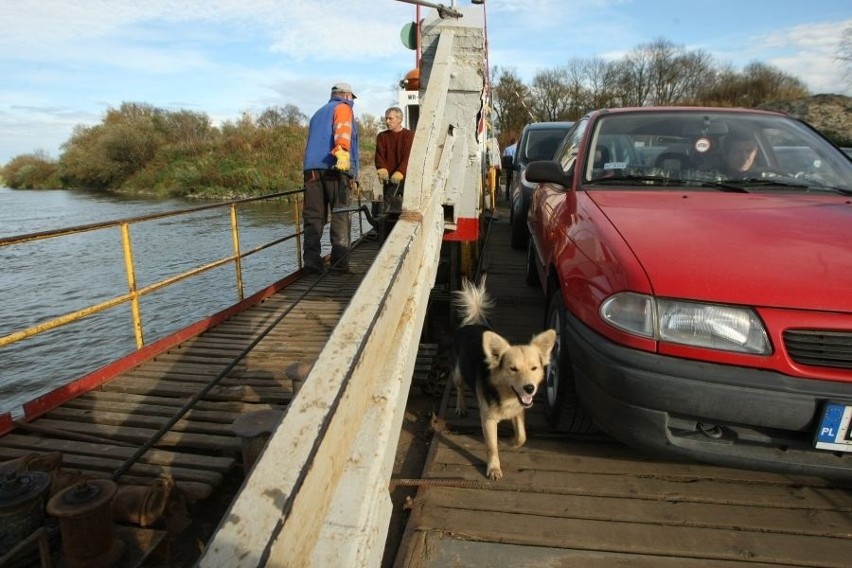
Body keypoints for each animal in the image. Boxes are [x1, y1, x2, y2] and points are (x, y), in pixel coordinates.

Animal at [452, 278, 560, 482]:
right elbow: (492, 447)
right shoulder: (488, 420)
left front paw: (512, 443)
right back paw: (460, 406)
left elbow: (522, 436)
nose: (529, 388)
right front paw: (494, 468)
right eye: (513, 369)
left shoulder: (519, 411)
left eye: (534, 368)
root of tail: (473, 324)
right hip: (458, 374)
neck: (506, 396)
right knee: (460, 388)